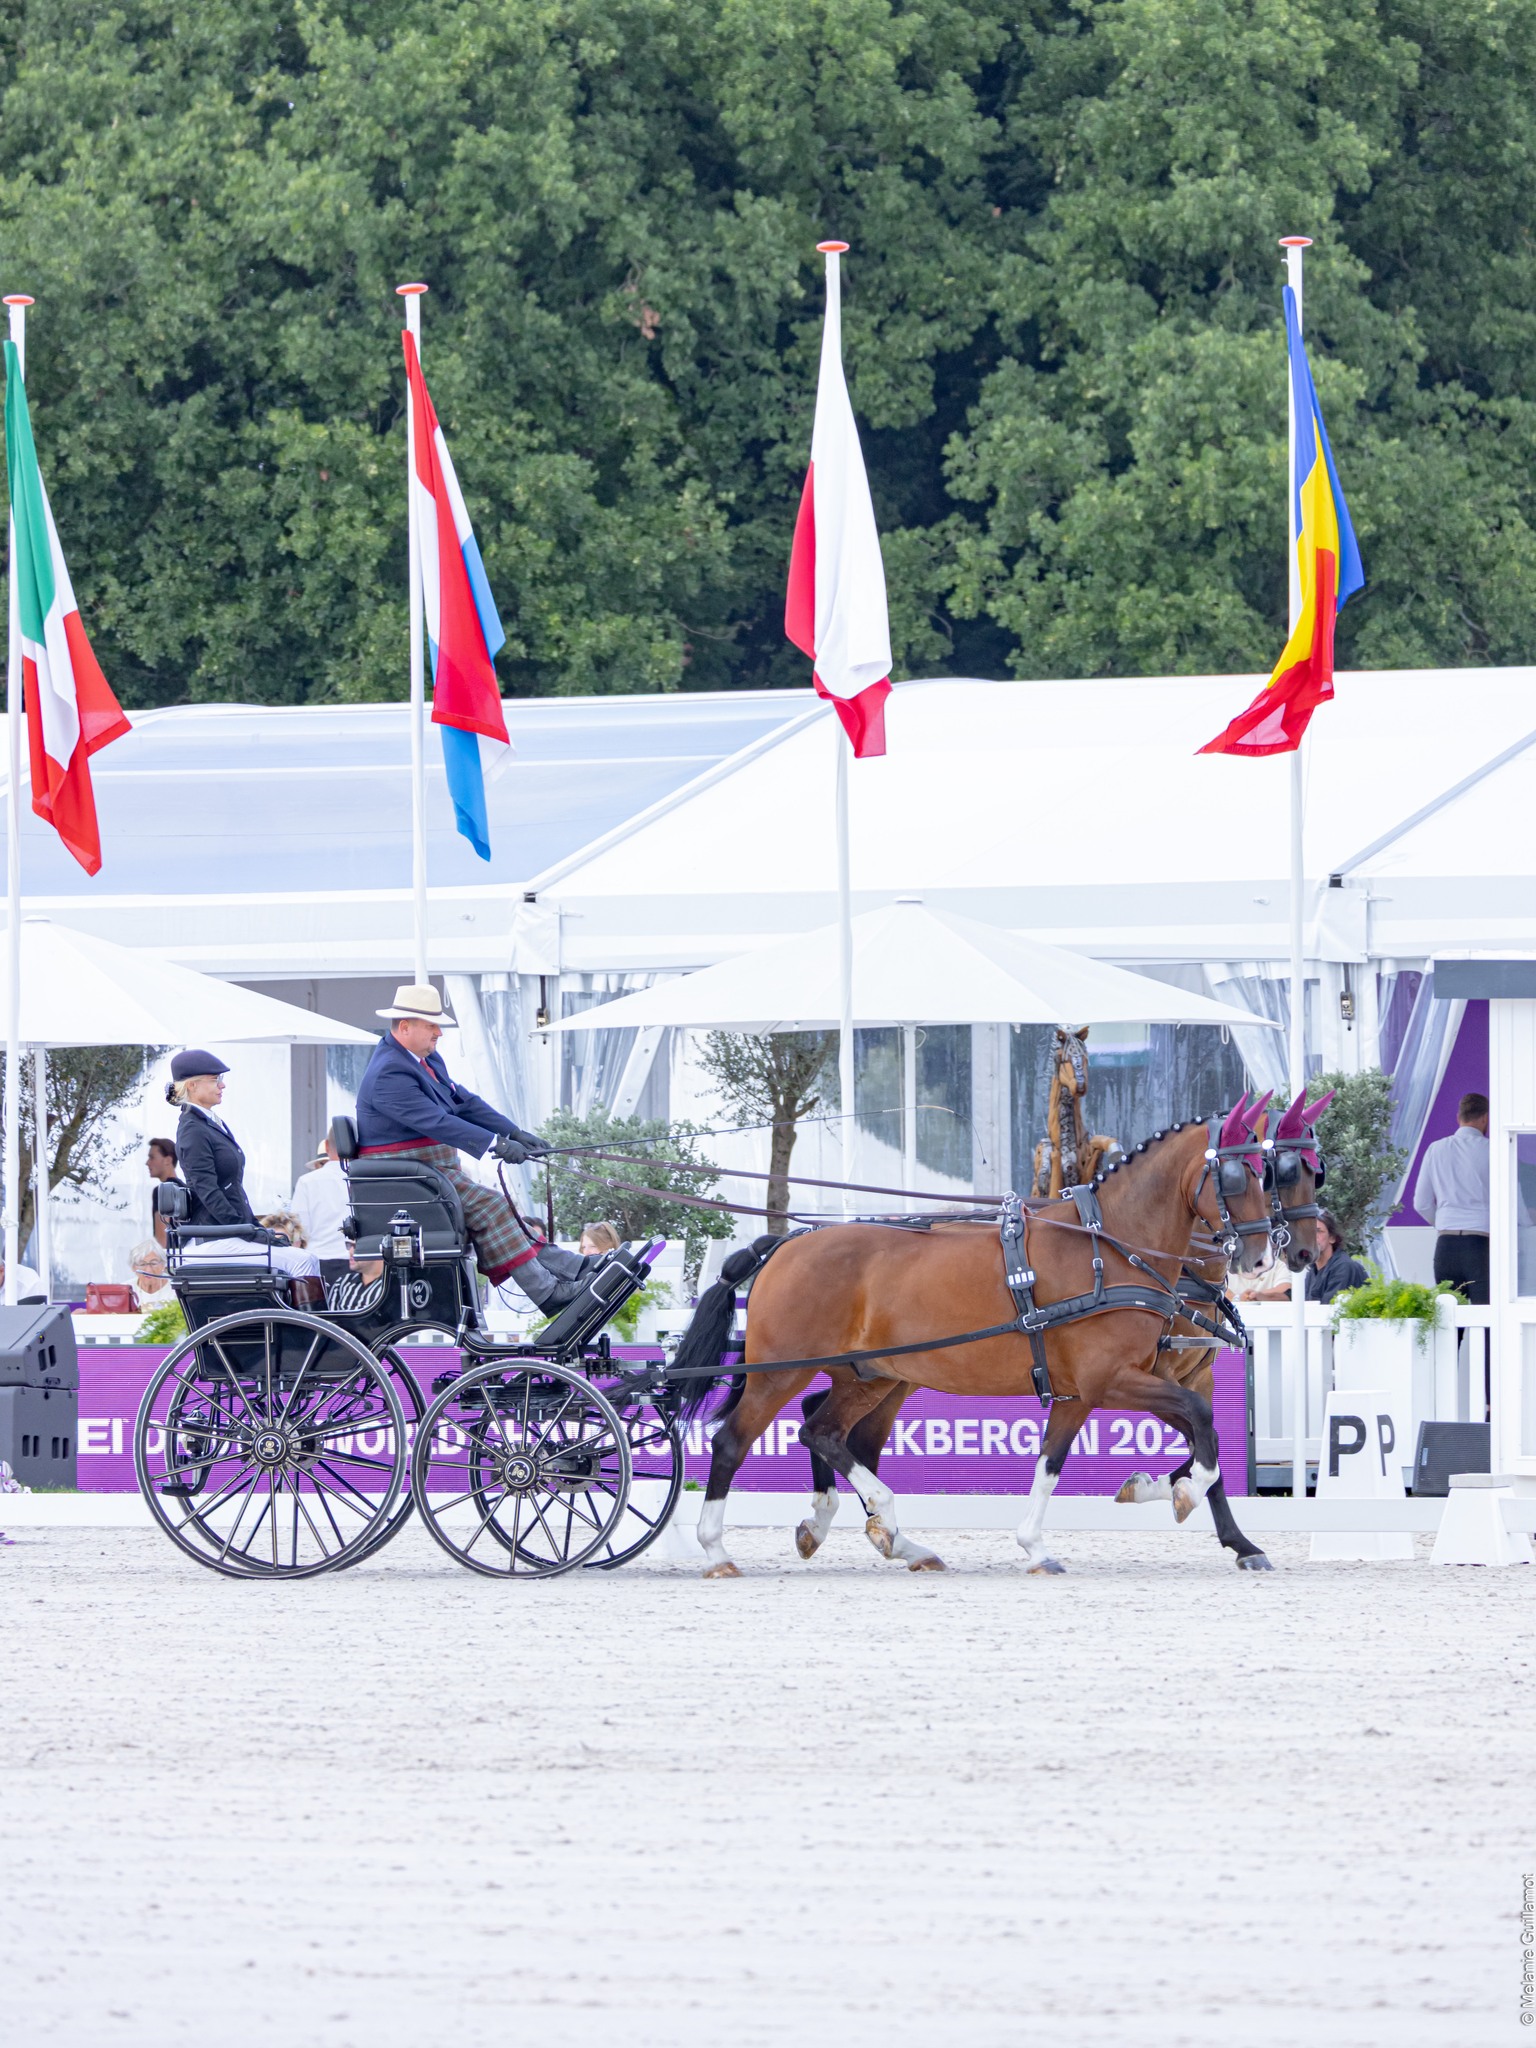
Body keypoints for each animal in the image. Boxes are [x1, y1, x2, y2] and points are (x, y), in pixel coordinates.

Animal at [670, 1097, 1285, 1578]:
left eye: (1268, 1171)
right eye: (1239, 1176)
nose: (1262, 1257)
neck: (1107, 1247)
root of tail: (787, 1242)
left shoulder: (1085, 1390)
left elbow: (1056, 1460)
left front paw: (1041, 1544)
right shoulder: (1110, 1380)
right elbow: (1201, 1430)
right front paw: (1177, 1493)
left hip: (870, 1376)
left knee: (823, 1432)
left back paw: (885, 1535)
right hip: (779, 1372)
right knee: (734, 1443)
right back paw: (718, 1551)